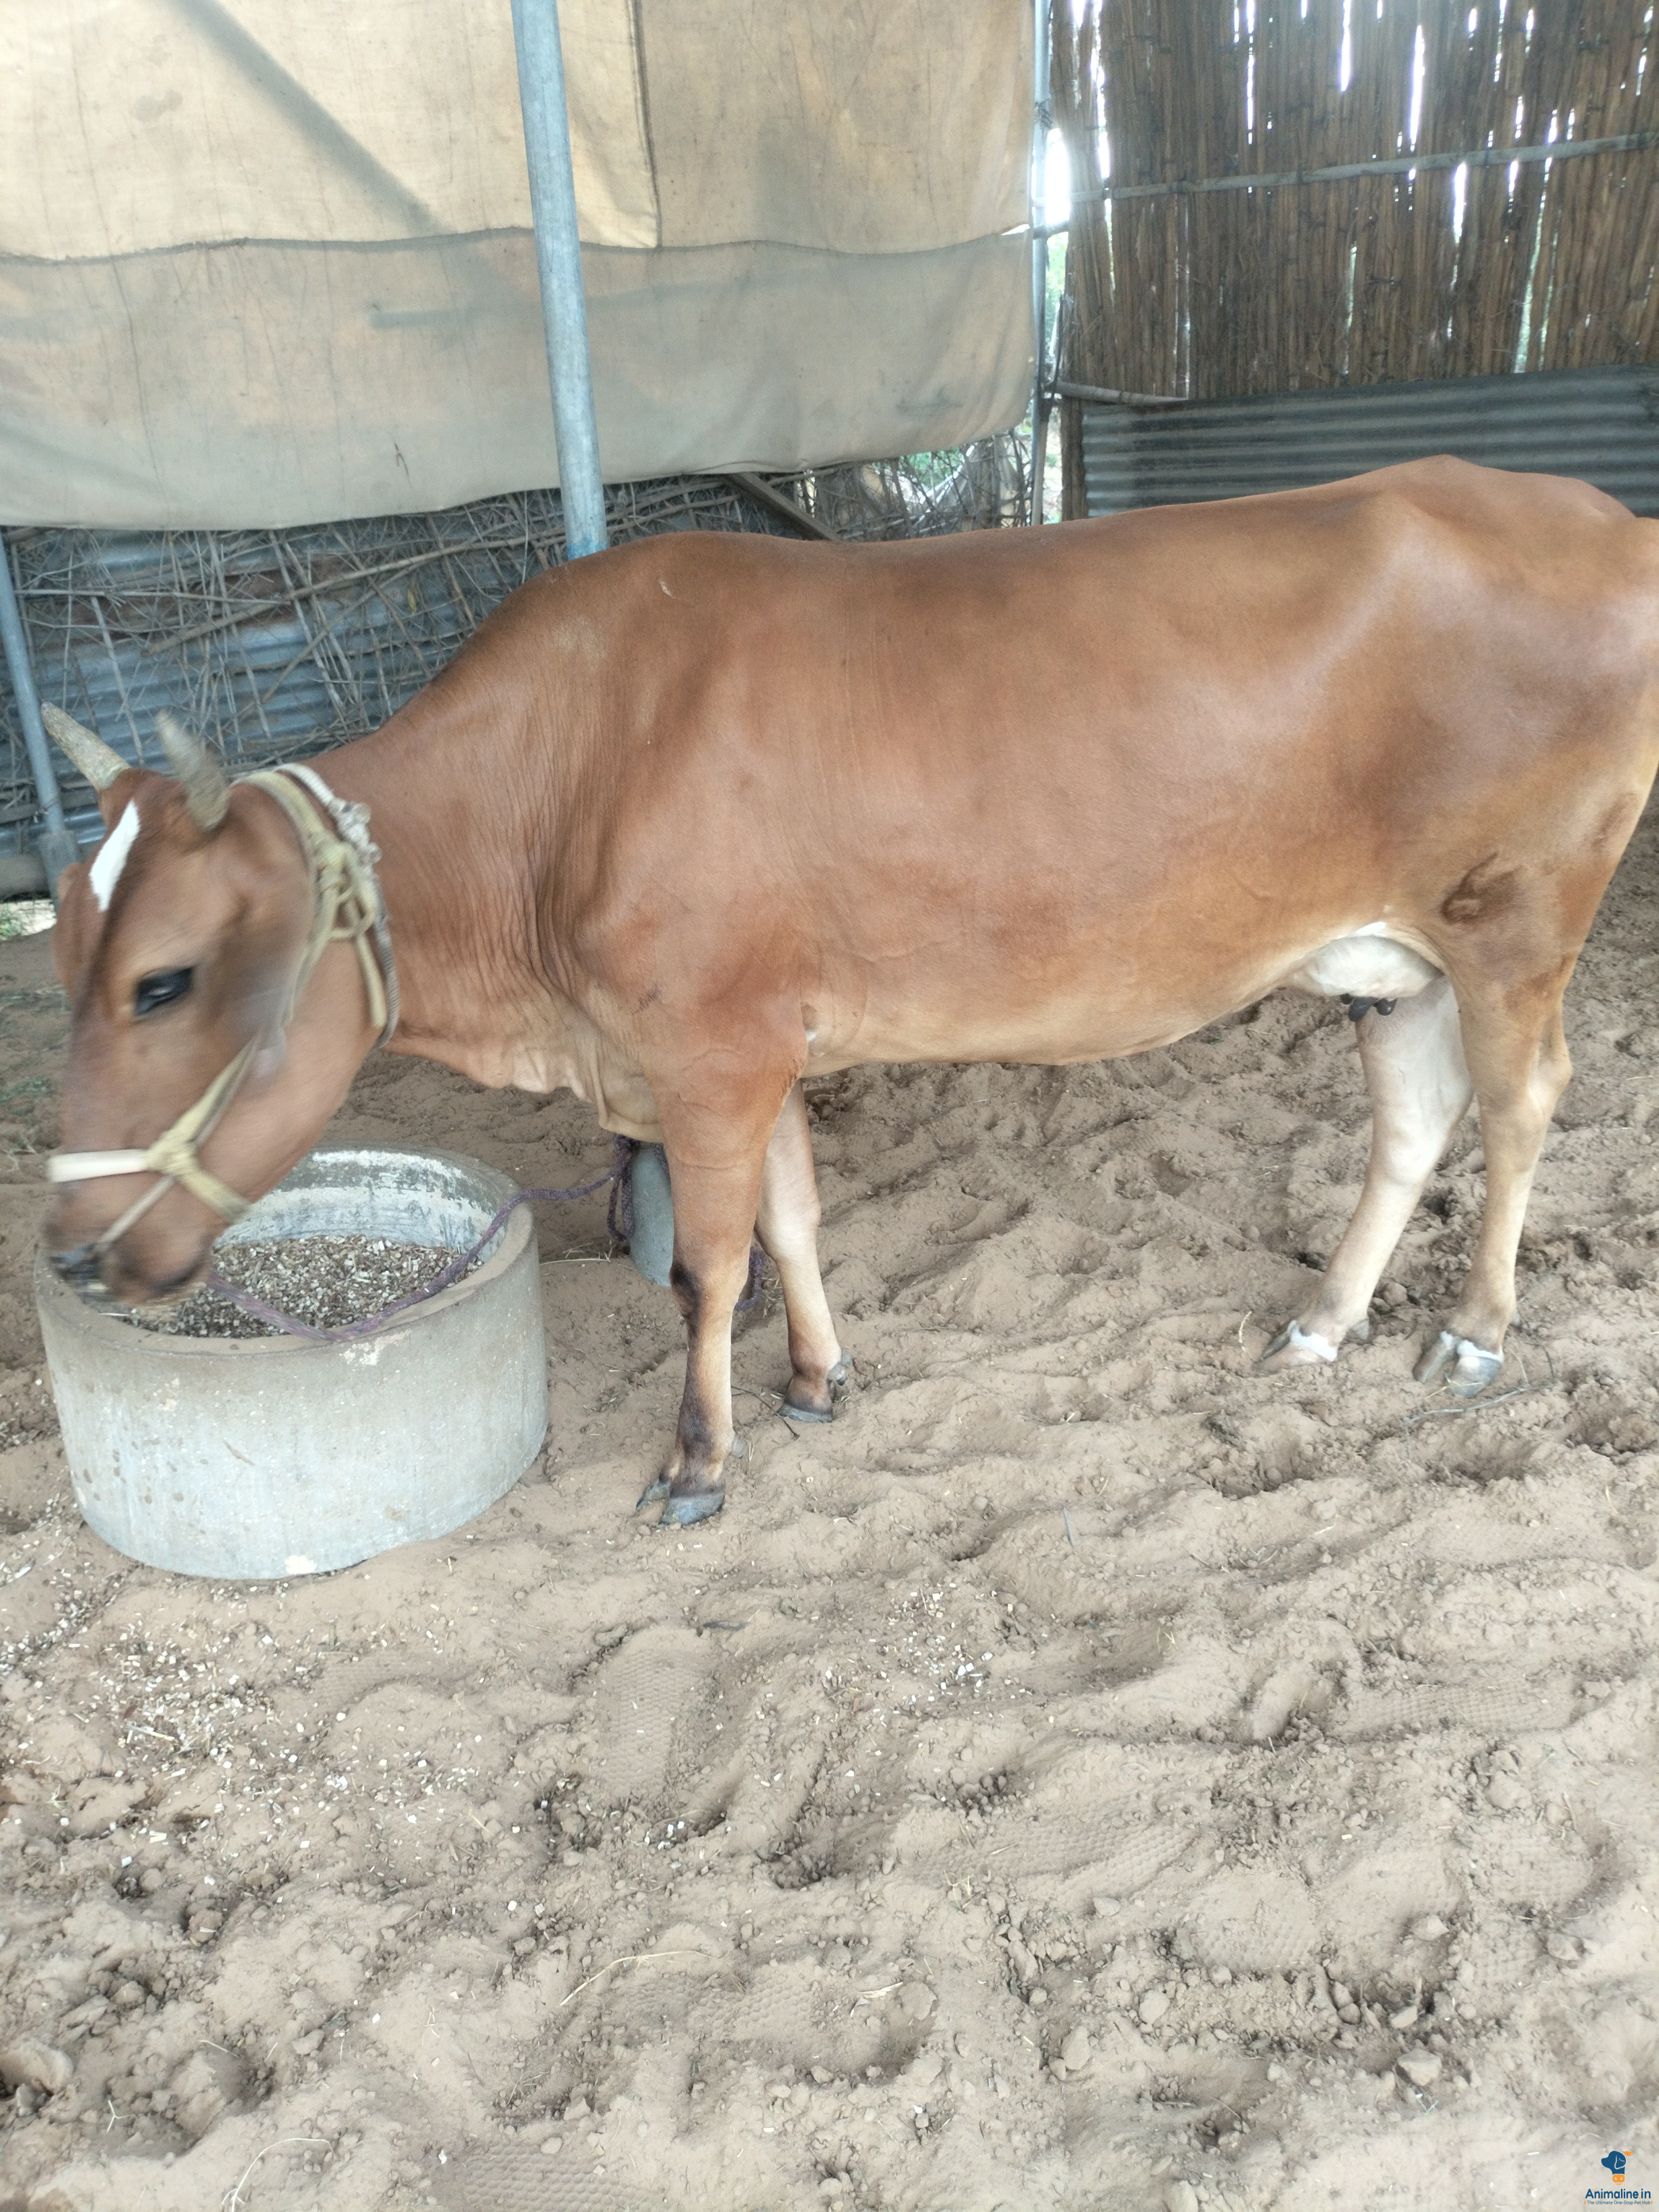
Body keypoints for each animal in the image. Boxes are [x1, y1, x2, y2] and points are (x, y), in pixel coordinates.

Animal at [39, 458, 1659, 1525]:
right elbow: (795, 1221)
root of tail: (1586, 511)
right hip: (1392, 954)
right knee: (1414, 1115)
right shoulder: (751, 1046)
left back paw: (1478, 1330)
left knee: (1520, 1105)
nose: (64, 1248)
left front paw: (698, 1461)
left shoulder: (707, 1051)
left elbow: (708, 1264)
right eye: (61, 950)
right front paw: (818, 1381)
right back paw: (1324, 1317)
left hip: (1519, 920)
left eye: (164, 979)